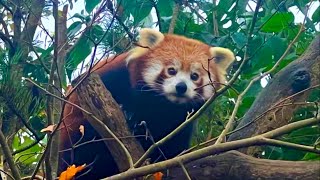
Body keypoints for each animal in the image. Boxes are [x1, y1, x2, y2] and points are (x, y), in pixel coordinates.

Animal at [57, 28, 234, 179]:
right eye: (171, 70)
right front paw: (129, 114)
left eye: (195, 76)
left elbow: (173, 145)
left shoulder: (182, 121)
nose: (181, 87)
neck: (161, 104)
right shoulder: (114, 77)